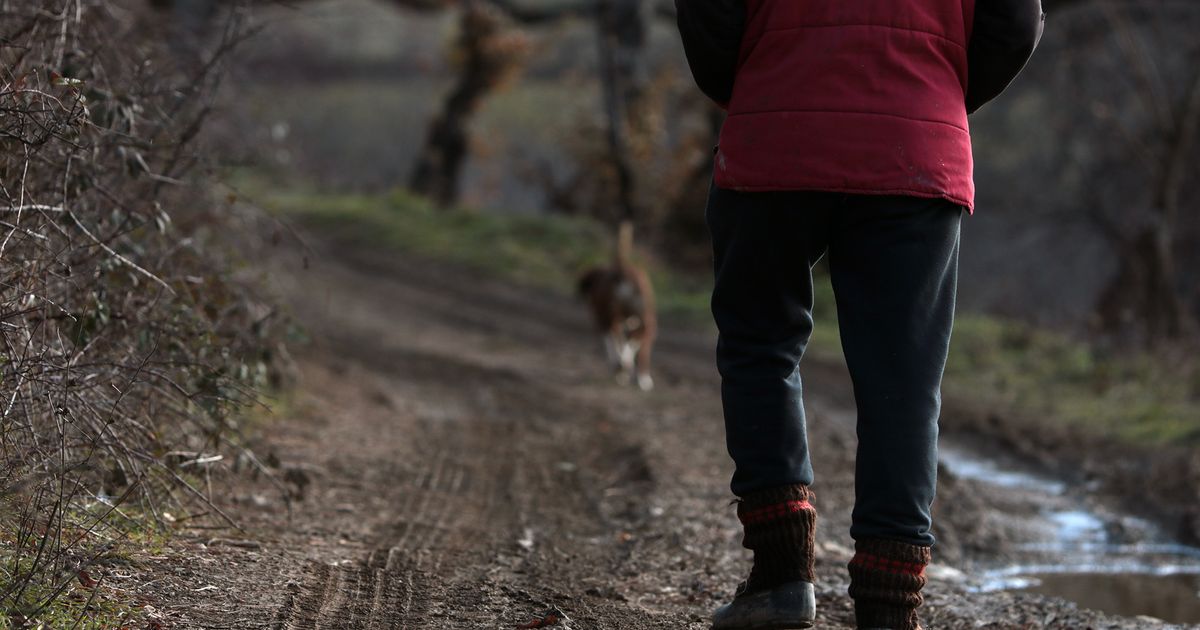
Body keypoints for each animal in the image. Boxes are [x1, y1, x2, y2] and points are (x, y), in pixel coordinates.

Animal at [578, 219, 657, 388]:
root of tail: (623, 269)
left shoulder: (601, 320)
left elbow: (612, 344)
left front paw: (619, 368)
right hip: (646, 319)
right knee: (637, 343)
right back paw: (640, 377)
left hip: (610, 316)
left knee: (617, 338)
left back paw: (622, 367)